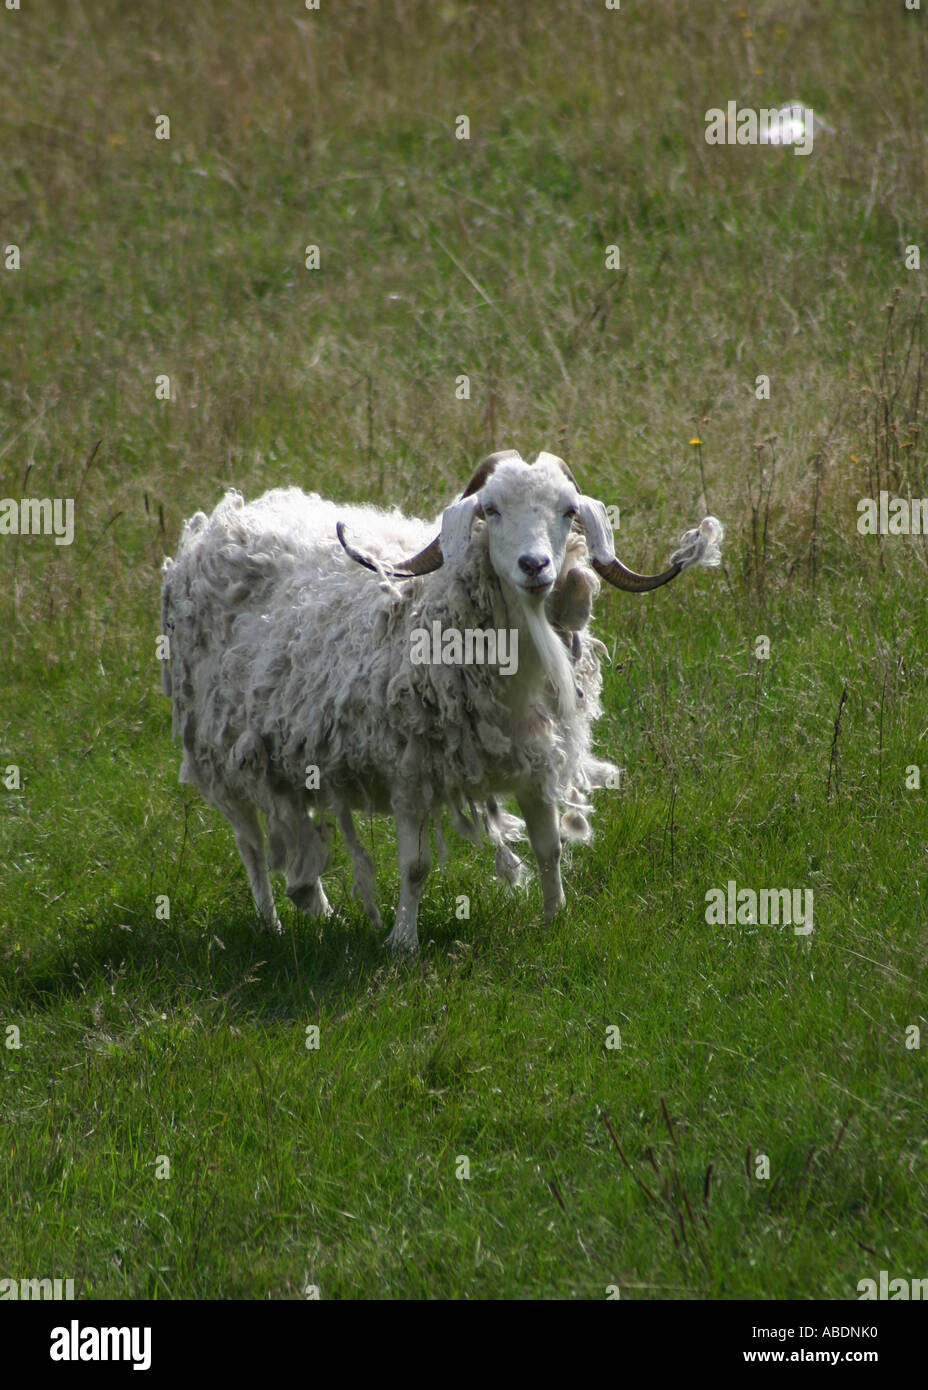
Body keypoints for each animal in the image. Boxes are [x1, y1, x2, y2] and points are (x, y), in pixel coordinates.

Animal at [161, 450, 723, 953]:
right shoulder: (410, 771)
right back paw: (272, 923)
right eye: (490, 509)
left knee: (296, 842)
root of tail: (218, 520)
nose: (535, 565)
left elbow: (549, 850)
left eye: (568, 511)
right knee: (251, 847)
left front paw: (554, 920)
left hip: (283, 753)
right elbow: (415, 867)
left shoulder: (537, 764)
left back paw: (320, 913)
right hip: (218, 751)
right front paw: (403, 944)